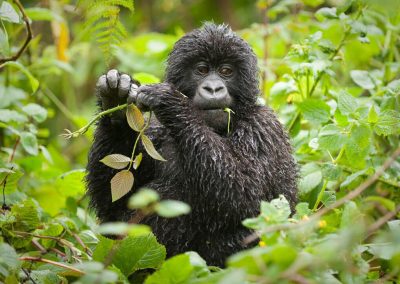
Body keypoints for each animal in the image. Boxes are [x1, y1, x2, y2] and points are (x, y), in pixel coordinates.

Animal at [86, 22, 296, 266]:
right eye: (202, 70)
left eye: (226, 71)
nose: (213, 88)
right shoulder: (154, 132)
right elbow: (113, 208)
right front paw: (117, 100)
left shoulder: (264, 128)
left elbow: (247, 198)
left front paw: (172, 102)